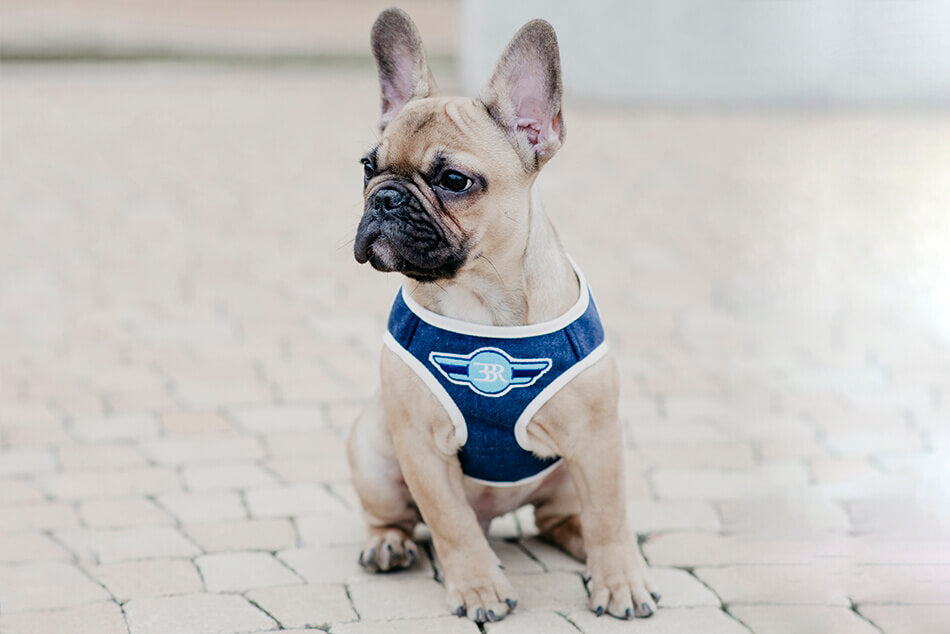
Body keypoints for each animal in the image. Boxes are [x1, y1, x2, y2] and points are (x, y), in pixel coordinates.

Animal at [346, 7, 660, 624]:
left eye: (454, 181)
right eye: (367, 166)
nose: (385, 198)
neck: (480, 302)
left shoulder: (596, 439)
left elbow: (610, 514)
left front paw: (621, 580)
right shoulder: (420, 446)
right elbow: (450, 524)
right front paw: (478, 588)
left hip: (565, 472)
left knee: (565, 519)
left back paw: (593, 548)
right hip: (372, 448)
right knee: (402, 517)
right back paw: (388, 545)